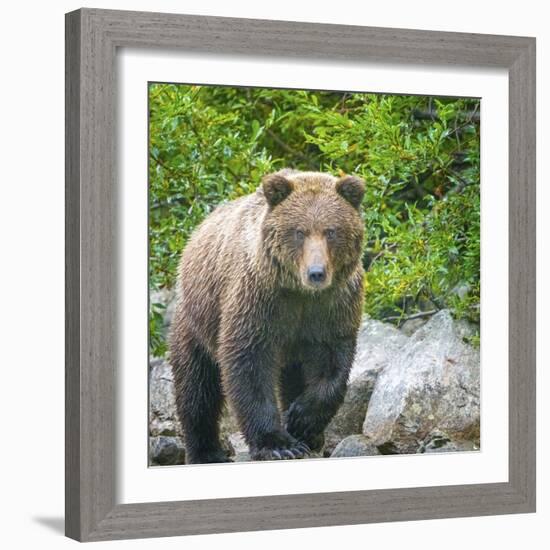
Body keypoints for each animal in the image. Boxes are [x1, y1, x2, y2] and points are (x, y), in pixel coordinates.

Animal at [170, 170, 364, 464]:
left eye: (331, 231)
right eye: (299, 232)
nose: (316, 273)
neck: (300, 293)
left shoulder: (332, 306)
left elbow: (333, 362)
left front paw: (302, 421)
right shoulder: (259, 299)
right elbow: (249, 362)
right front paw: (278, 444)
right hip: (197, 320)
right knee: (197, 386)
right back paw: (206, 451)